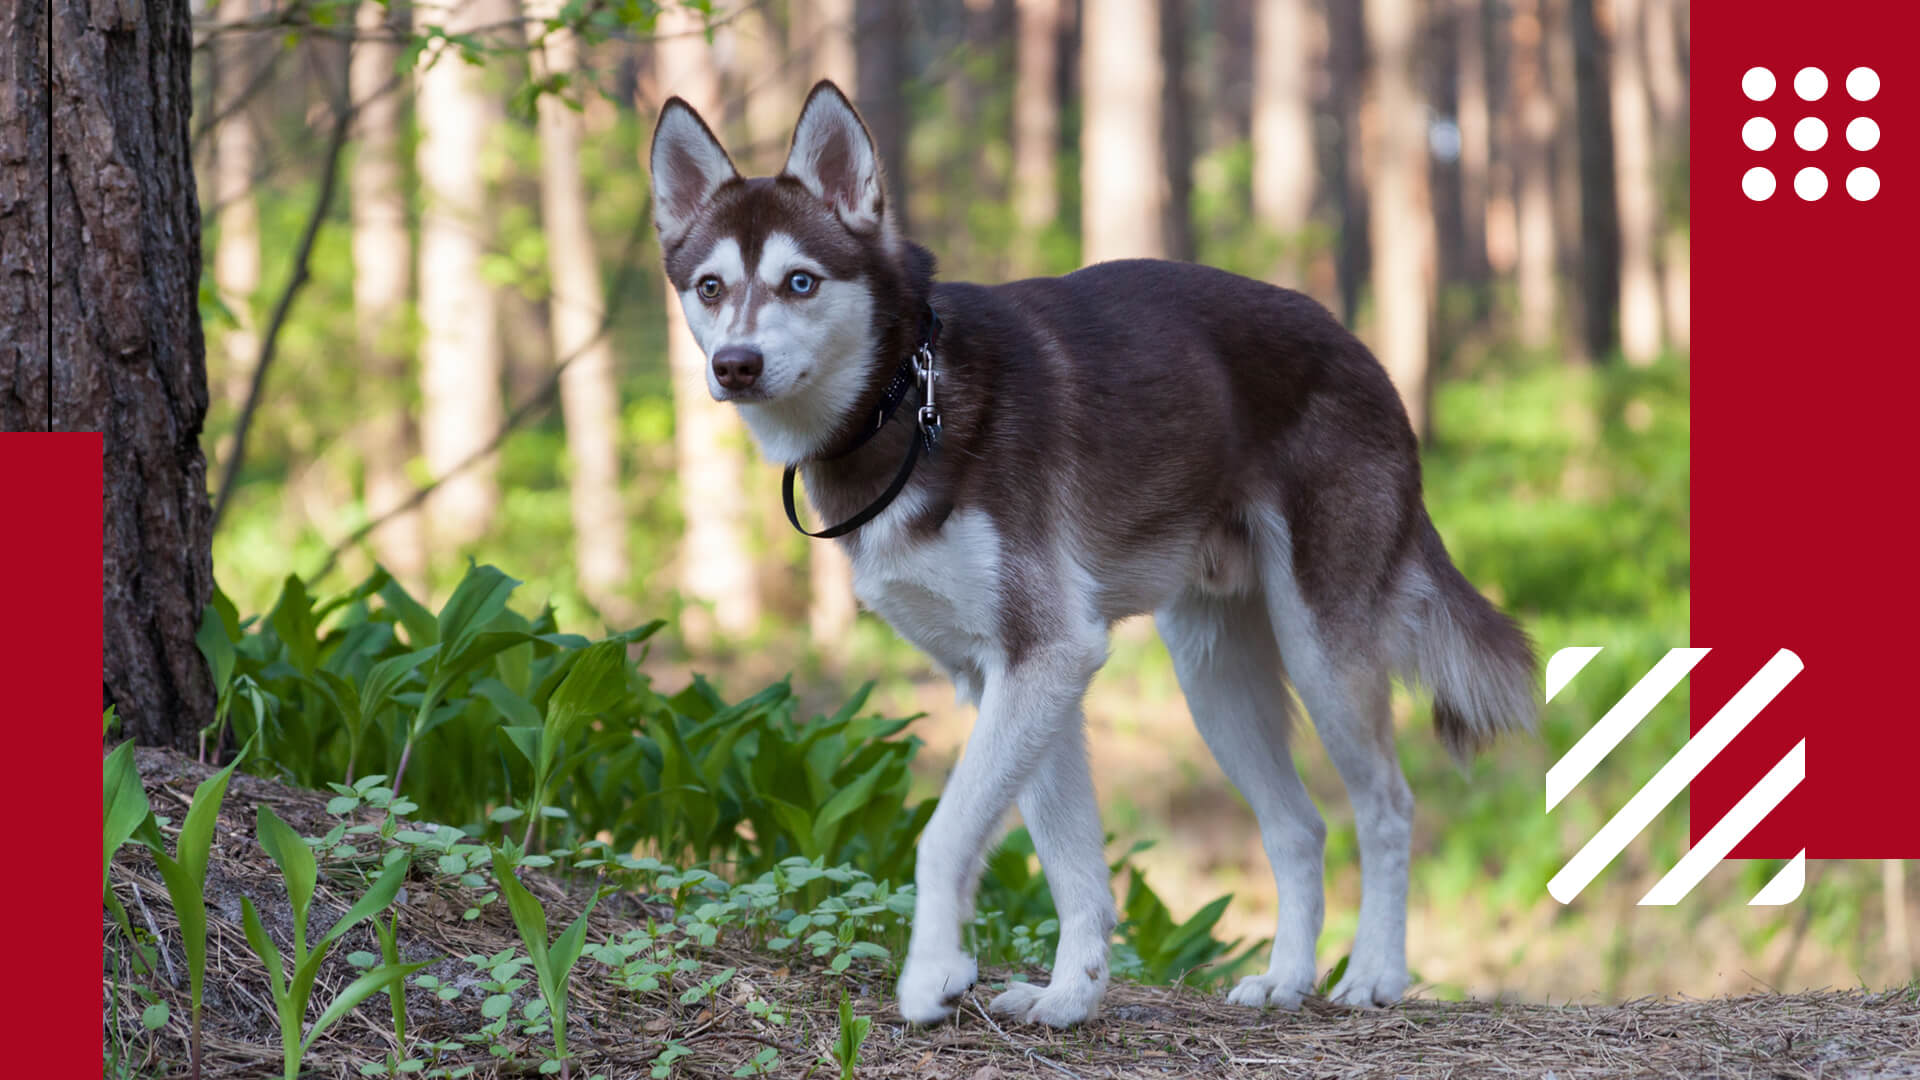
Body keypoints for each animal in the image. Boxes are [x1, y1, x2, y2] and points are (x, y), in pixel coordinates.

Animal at [652, 79, 1536, 1022]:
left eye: (800, 282)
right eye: (710, 287)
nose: (737, 365)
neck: (908, 399)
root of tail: (1366, 356)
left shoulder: (1048, 654)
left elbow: (944, 836)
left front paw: (930, 973)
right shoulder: (1011, 674)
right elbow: (1071, 860)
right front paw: (1069, 995)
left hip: (1321, 654)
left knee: (1387, 808)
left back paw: (1373, 973)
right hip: (1213, 674)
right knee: (1299, 827)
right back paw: (1287, 977)